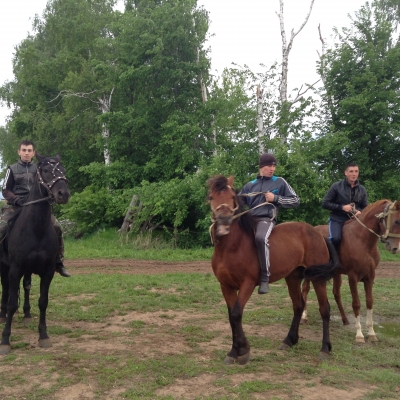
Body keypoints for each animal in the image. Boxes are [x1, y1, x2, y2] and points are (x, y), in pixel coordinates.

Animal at [0, 153, 70, 354]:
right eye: (45, 170)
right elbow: (11, 303)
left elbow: (43, 301)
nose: (63, 194)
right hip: (5, 267)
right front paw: (5, 340)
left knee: (26, 286)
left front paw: (43, 336)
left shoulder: (47, 271)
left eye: (63, 170)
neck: (35, 229)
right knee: (6, 288)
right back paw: (3, 314)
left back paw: (27, 314)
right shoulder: (14, 269)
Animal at [208, 175, 342, 366]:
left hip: (318, 279)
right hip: (293, 278)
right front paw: (235, 351)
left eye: (232, 197)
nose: (224, 221)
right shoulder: (226, 286)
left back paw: (324, 348)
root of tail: (318, 233)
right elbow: (231, 317)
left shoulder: (248, 284)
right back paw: (289, 340)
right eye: (211, 197)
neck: (232, 247)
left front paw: (243, 351)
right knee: (298, 306)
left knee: (325, 309)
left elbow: (236, 314)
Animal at [302, 198, 400, 342]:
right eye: (396, 221)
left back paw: (344, 319)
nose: (395, 248)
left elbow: (369, 302)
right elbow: (356, 303)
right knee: (305, 289)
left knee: (336, 293)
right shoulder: (353, 277)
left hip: (335, 274)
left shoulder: (370, 277)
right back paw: (304, 317)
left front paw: (371, 333)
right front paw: (359, 334)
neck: (362, 241)